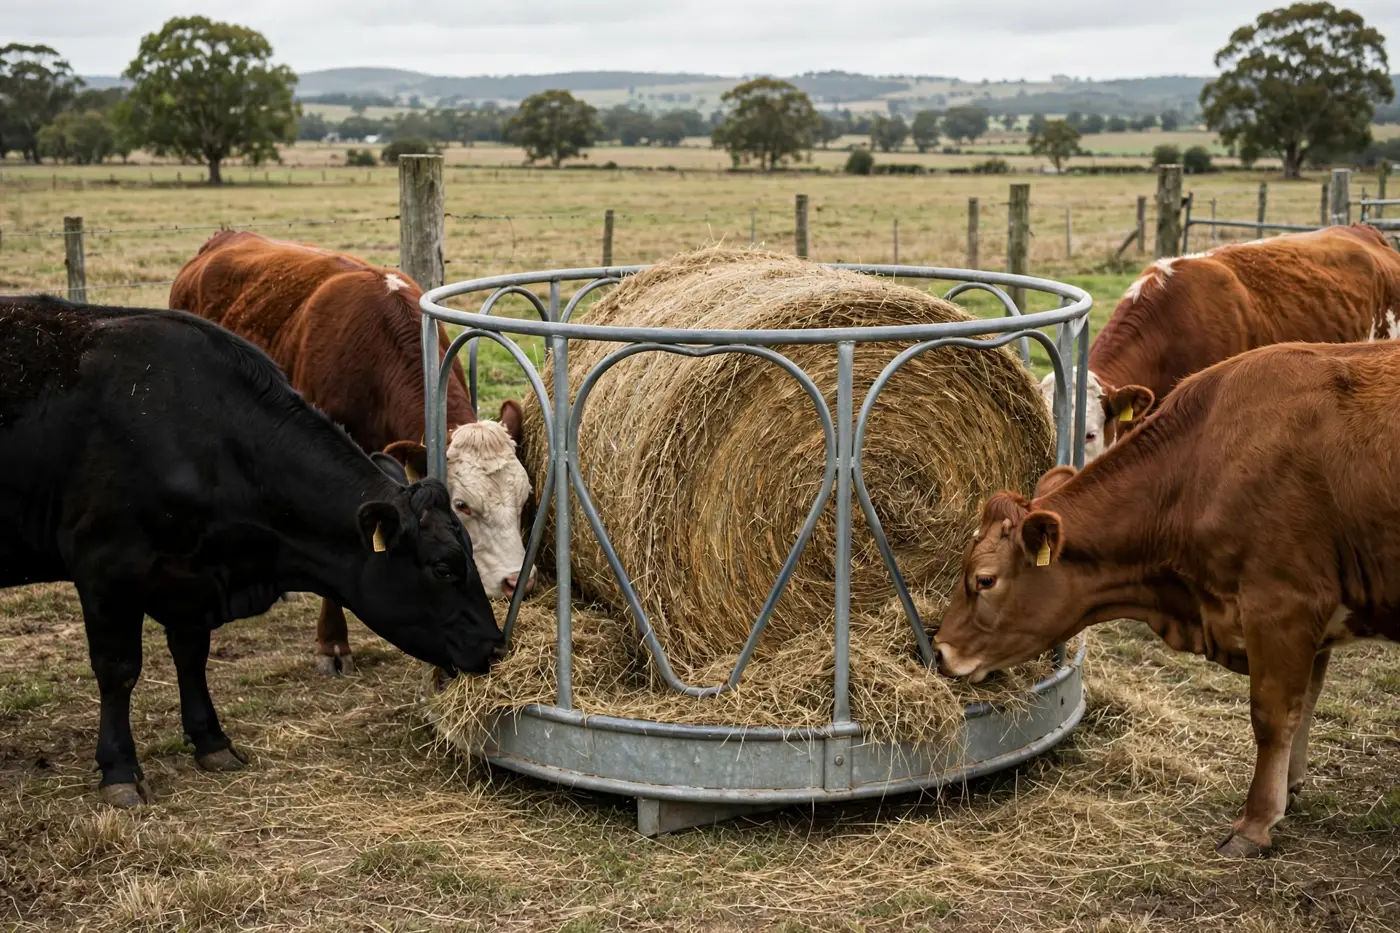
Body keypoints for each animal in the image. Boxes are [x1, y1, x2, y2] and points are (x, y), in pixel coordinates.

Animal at [0, 296, 504, 807]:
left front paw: (212, 742)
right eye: (444, 568)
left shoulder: (191, 577)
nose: (495, 645)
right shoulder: (104, 568)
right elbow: (118, 670)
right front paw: (119, 769)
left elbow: (191, 654)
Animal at [935, 339, 1400, 858]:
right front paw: (1290, 788)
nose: (939, 650)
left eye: (985, 580)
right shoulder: (1317, 620)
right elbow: (1306, 706)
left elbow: (1273, 717)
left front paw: (1256, 822)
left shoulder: (1282, 604)